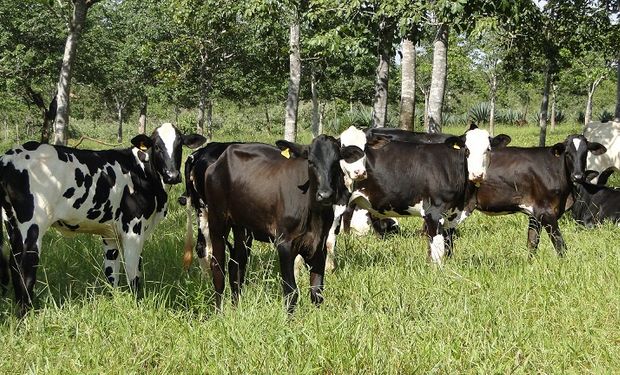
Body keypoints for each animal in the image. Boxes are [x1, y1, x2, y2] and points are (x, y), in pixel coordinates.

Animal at [0, 124, 206, 318]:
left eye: (179, 145)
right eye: (156, 146)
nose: (173, 175)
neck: (141, 171)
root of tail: (9, 157)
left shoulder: (110, 235)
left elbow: (112, 273)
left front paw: (115, 302)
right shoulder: (133, 230)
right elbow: (134, 272)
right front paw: (137, 305)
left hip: (11, 223)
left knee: (13, 263)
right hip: (32, 225)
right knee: (25, 265)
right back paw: (26, 313)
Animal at [199, 137, 352, 312]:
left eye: (336, 161)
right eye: (311, 161)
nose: (325, 195)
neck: (314, 213)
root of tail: (220, 159)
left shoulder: (319, 246)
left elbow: (317, 291)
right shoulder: (284, 243)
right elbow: (291, 291)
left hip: (242, 228)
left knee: (236, 265)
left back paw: (236, 309)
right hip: (217, 220)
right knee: (218, 268)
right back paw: (219, 312)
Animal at [346, 128, 512, 262]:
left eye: (488, 149)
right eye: (466, 150)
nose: (477, 174)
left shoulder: (452, 215)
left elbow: (448, 243)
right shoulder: (433, 211)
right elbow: (436, 247)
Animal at [474, 136, 604, 258]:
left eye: (586, 152)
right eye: (567, 153)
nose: (578, 176)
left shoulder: (534, 214)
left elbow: (532, 243)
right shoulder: (545, 211)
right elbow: (560, 244)